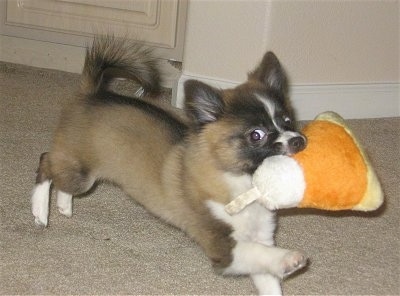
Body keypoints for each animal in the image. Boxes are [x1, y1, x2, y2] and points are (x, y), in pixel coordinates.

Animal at [32, 34, 306, 294]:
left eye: (288, 120)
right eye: (256, 135)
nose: (299, 141)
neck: (244, 186)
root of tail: (91, 93)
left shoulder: (260, 238)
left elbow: (267, 275)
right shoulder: (222, 247)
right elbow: (260, 254)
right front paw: (290, 258)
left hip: (81, 175)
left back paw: (64, 206)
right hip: (82, 176)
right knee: (45, 160)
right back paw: (40, 212)